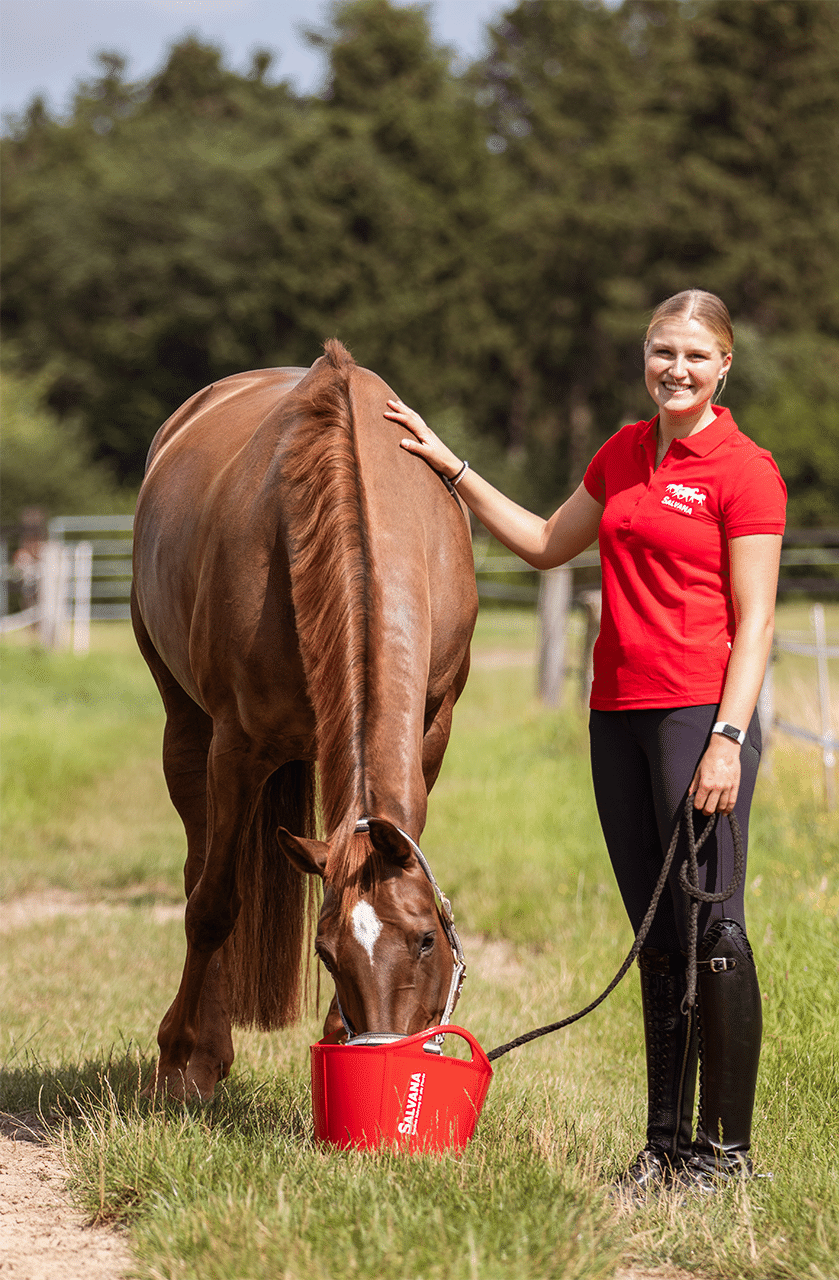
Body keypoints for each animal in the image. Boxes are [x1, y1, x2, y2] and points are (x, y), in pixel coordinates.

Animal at [131, 340, 478, 1100]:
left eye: (426, 939)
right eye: (325, 951)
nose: (383, 1050)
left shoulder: (434, 730)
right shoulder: (236, 748)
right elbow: (213, 905)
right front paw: (178, 1060)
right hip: (185, 730)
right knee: (199, 872)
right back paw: (202, 1053)